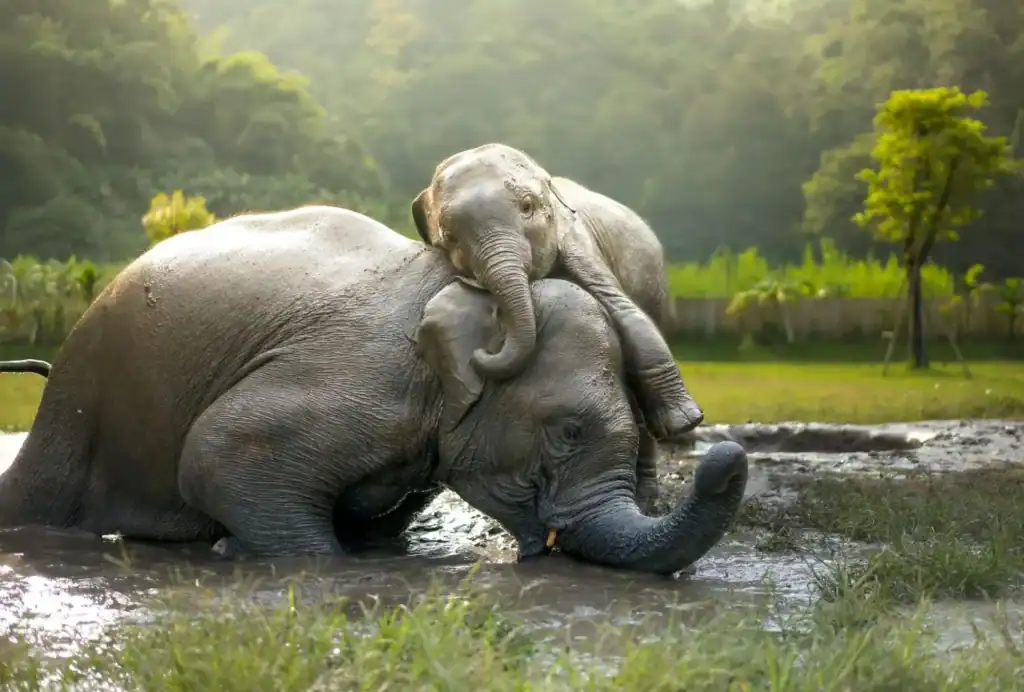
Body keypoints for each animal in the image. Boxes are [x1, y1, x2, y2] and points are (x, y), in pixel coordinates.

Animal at [0, 205, 748, 574]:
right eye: (568, 432)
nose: (728, 454)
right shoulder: (356, 378)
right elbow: (218, 451)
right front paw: (240, 555)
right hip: (76, 408)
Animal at [411, 143, 702, 451]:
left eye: (527, 207)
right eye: (450, 236)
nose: (481, 353)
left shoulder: (578, 242)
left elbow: (624, 309)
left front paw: (683, 421)